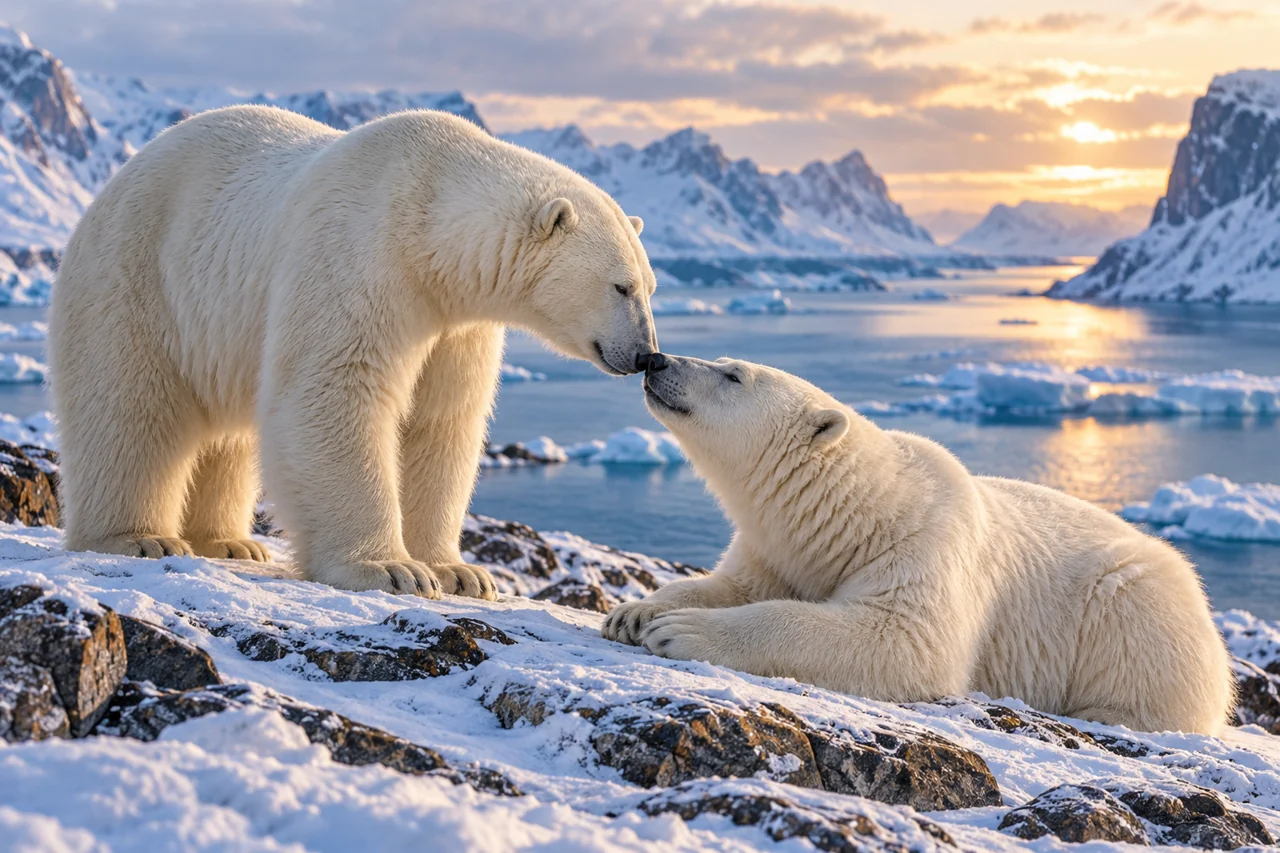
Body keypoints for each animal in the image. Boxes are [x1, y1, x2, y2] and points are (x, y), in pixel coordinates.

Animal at [48, 105, 658, 600]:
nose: (646, 356)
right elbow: (334, 392)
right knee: (129, 407)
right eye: (621, 286)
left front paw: (459, 573)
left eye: (650, 286)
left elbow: (441, 421)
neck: (429, 216)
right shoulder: (360, 255)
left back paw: (228, 542)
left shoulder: (455, 322)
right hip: (138, 275)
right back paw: (140, 537)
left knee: (226, 434)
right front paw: (390, 569)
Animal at [603, 353, 1234, 735]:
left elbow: (902, 638)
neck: (860, 513)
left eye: (733, 374)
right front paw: (636, 612)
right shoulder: (778, 552)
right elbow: (732, 584)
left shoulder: (925, 545)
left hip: (1134, 602)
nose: (658, 359)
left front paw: (680, 632)